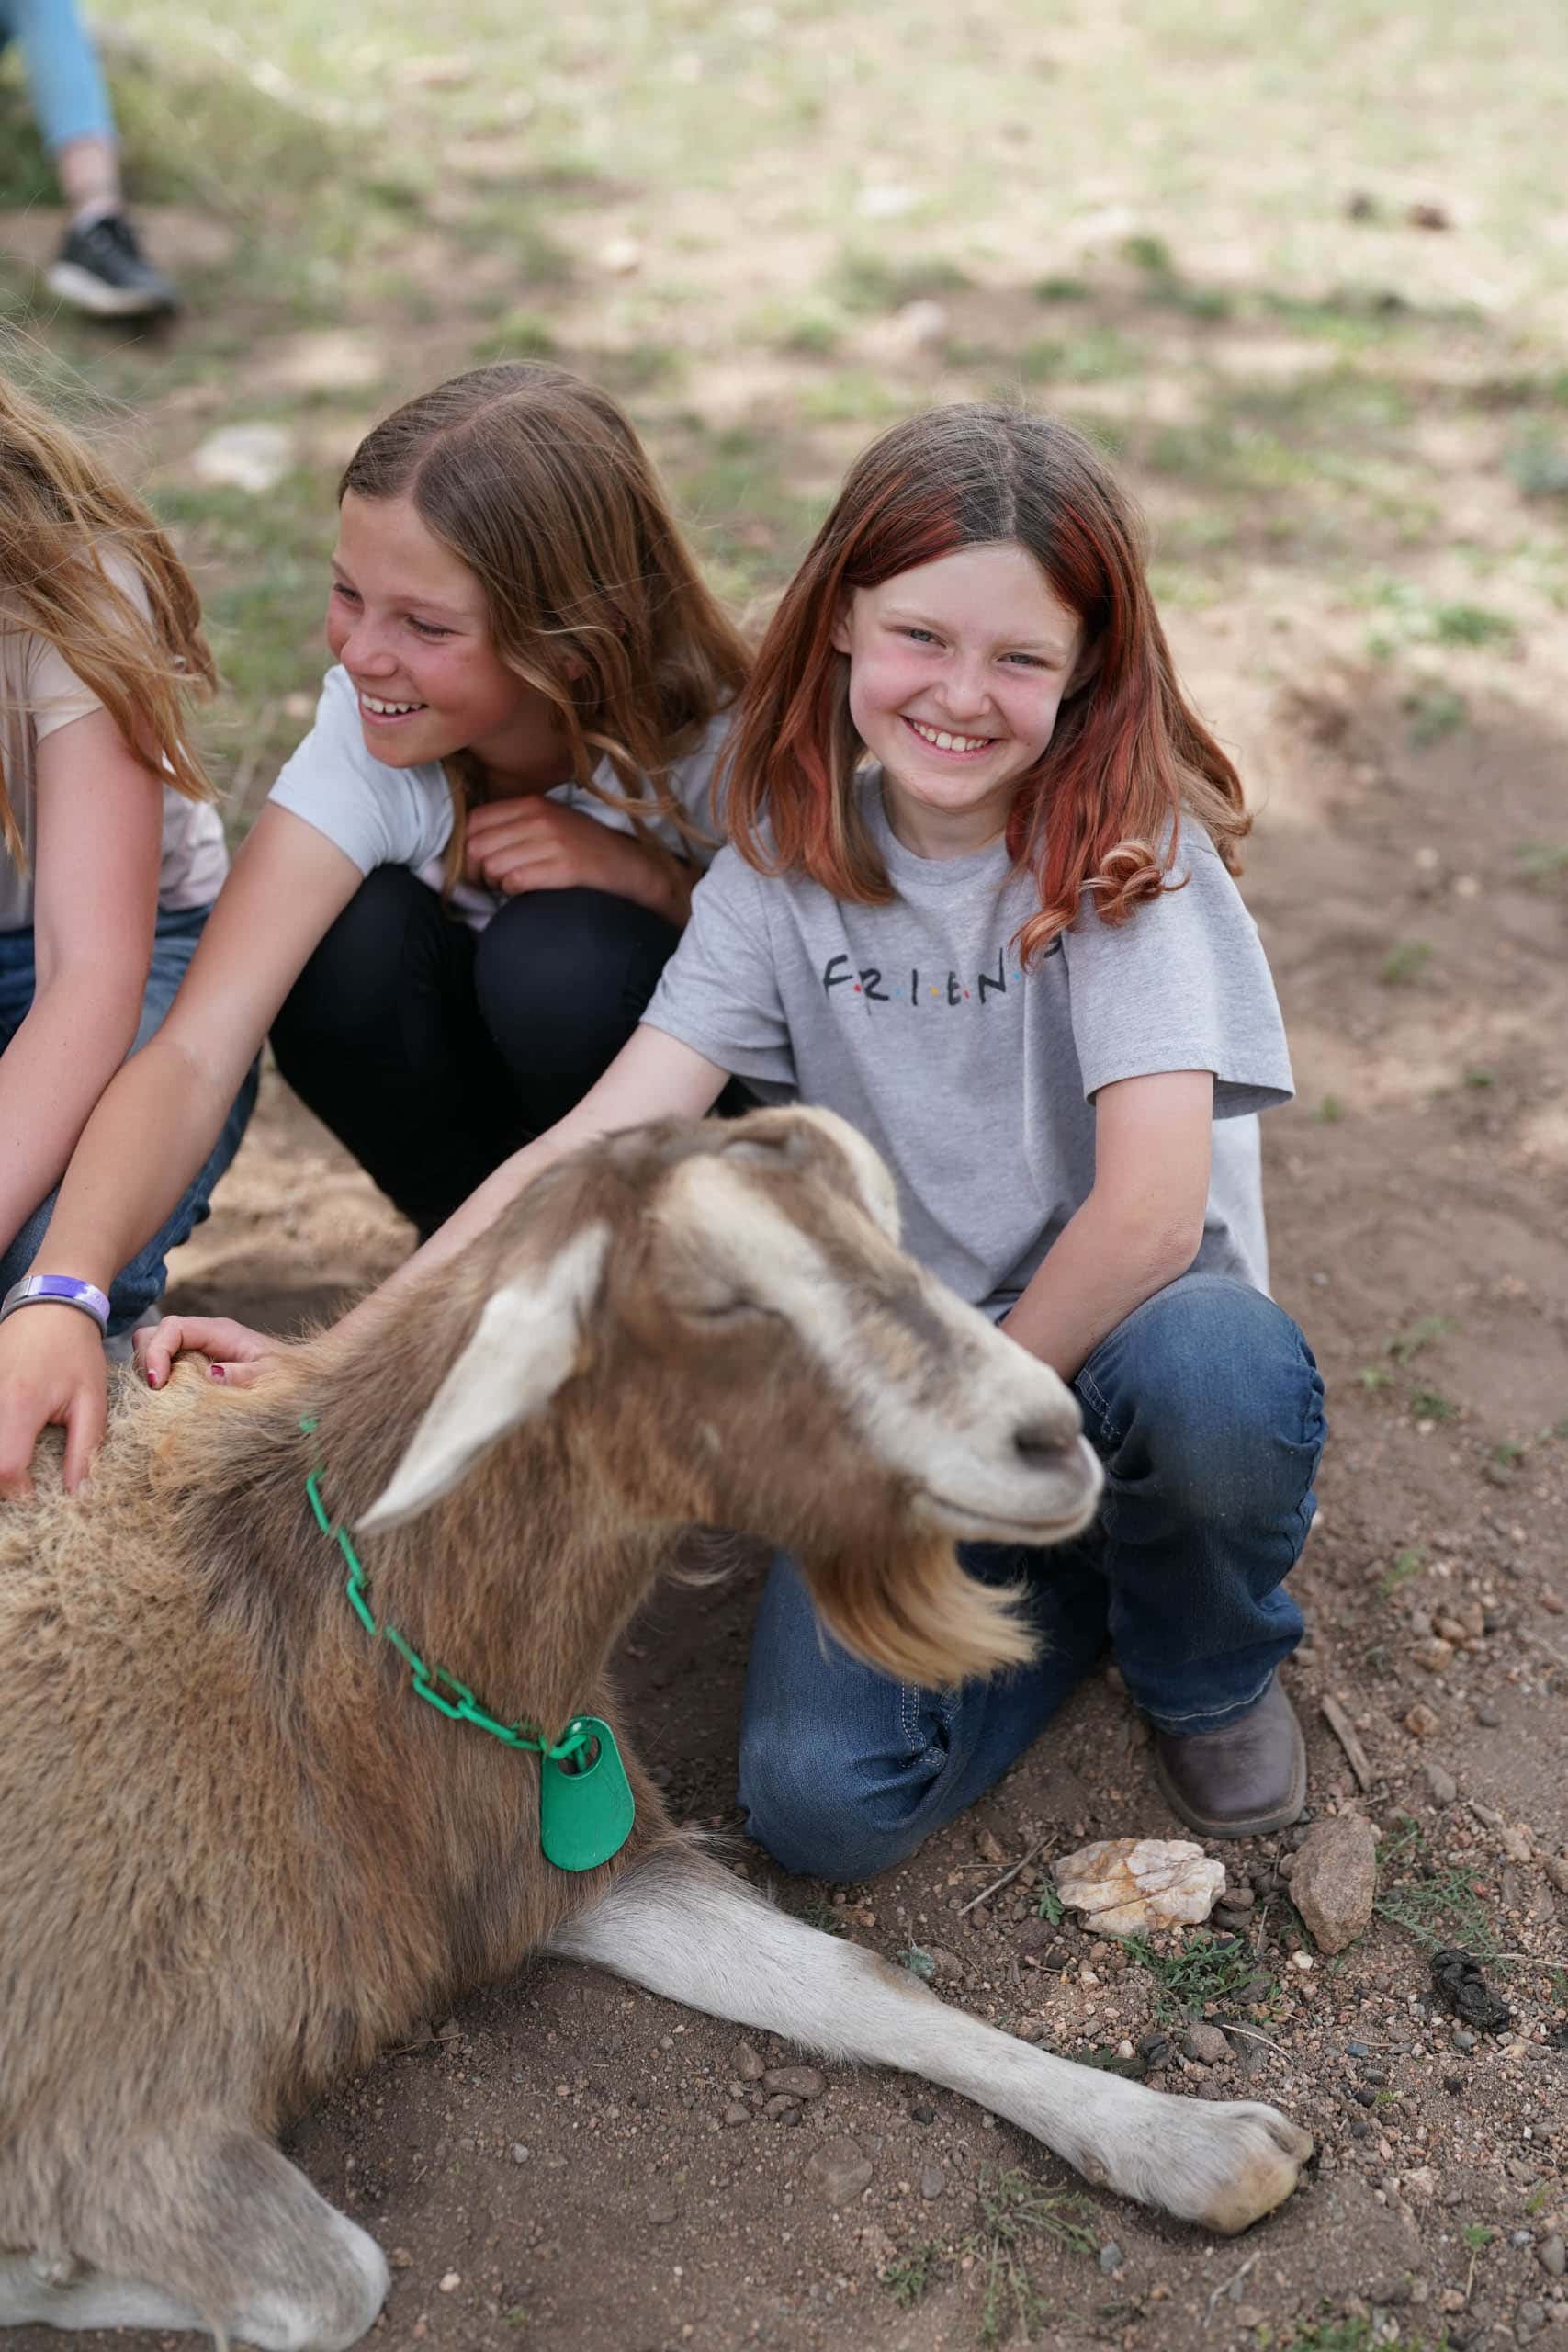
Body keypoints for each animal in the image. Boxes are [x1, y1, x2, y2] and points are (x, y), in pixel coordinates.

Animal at [0, 1105, 1312, 2350]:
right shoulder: (110, 2092)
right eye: (721, 1299)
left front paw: (1189, 2140)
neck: (317, 1637)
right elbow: (329, 2282)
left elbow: (857, 1983)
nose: (1050, 1436)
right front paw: (37, 2264)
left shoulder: (566, 1862)